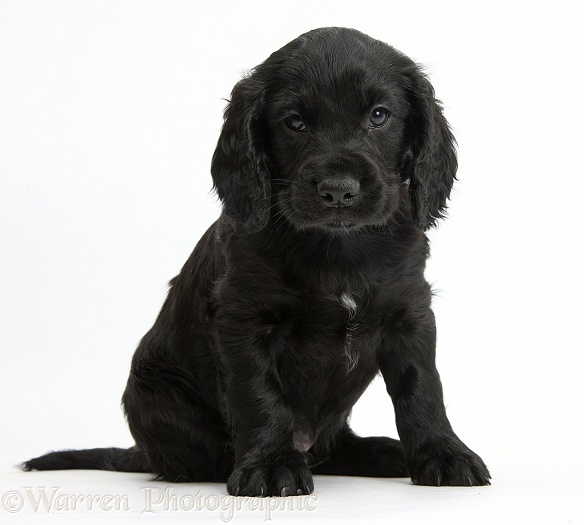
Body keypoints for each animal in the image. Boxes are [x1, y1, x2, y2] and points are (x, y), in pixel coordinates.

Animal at [22, 27, 490, 496]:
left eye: (379, 116)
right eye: (294, 122)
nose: (339, 190)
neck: (338, 248)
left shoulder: (409, 313)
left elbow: (422, 389)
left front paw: (444, 455)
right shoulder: (244, 320)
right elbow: (260, 396)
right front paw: (270, 465)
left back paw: (384, 452)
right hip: (155, 393)